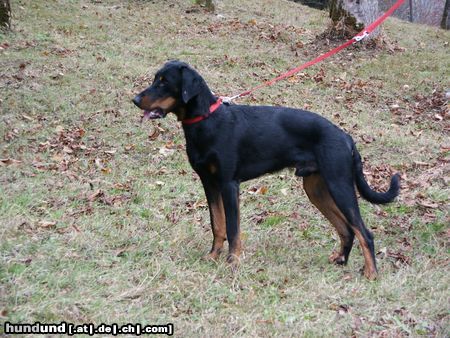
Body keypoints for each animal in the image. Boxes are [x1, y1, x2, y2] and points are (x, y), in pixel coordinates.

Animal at [132, 60, 400, 280]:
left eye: (165, 82)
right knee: (346, 229)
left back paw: (371, 274)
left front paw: (233, 262)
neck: (207, 121)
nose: (135, 100)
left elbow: (233, 228)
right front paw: (213, 257)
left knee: (364, 232)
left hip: (339, 184)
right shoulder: (209, 183)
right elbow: (217, 224)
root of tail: (347, 138)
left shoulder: (229, 184)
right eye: (156, 79)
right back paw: (341, 260)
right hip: (316, 188)